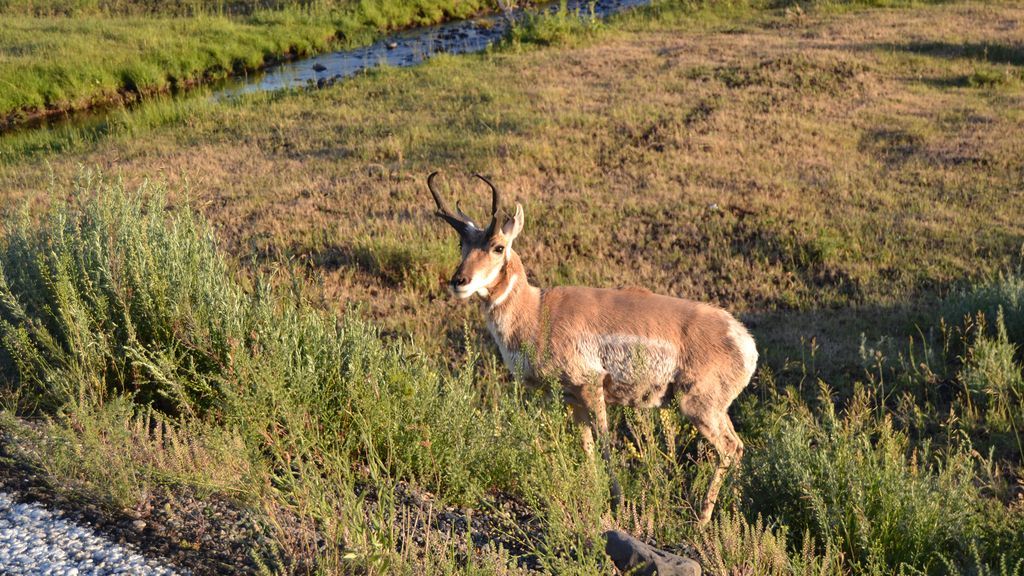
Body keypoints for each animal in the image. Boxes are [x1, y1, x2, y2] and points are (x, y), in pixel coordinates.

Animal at [428, 171, 757, 524]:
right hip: (715, 409)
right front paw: (591, 493)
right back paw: (736, 513)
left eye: (497, 247)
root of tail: (744, 339)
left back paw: (704, 519)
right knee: (738, 446)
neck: (538, 310)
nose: (458, 281)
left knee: (729, 448)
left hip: (696, 405)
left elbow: (605, 445)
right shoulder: (573, 400)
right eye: (462, 244)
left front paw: (617, 500)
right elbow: (586, 449)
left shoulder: (591, 386)